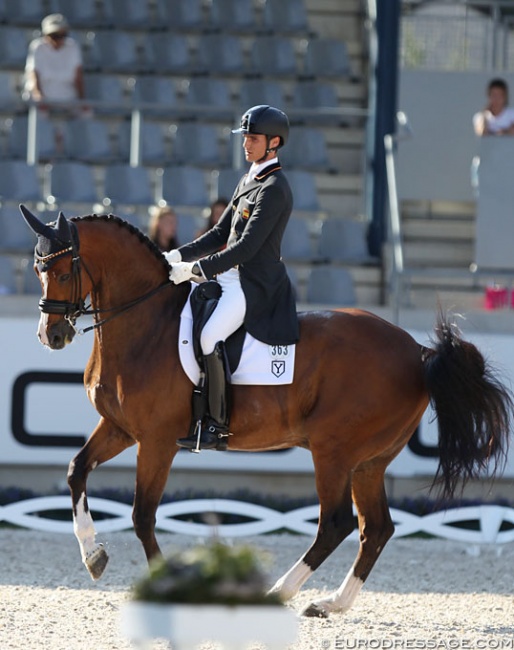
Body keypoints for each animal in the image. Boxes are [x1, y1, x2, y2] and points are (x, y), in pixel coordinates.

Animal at [18, 204, 510, 616]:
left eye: (63, 269)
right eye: (38, 268)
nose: (51, 336)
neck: (146, 325)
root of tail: (418, 352)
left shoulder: (157, 441)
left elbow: (142, 515)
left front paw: (166, 585)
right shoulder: (119, 428)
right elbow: (76, 471)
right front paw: (94, 556)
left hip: (334, 452)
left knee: (335, 524)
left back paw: (279, 592)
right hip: (369, 461)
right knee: (376, 528)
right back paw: (331, 604)